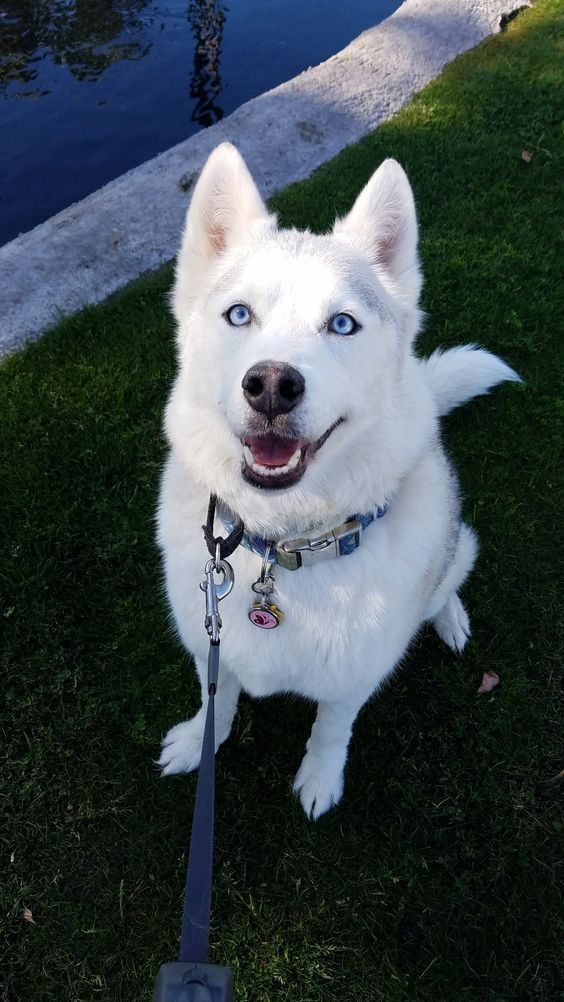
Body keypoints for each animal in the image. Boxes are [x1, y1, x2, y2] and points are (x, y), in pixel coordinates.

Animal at [156, 146, 516, 821]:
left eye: (342, 324)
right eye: (239, 314)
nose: (272, 385)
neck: (285, 547)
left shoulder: (352, 679)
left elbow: (330, 729)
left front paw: (320, 779)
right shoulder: (209, 641)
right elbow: (216, 698)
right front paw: (198, 741)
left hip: (457, 547)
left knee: (449, 579)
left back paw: (449, 618)